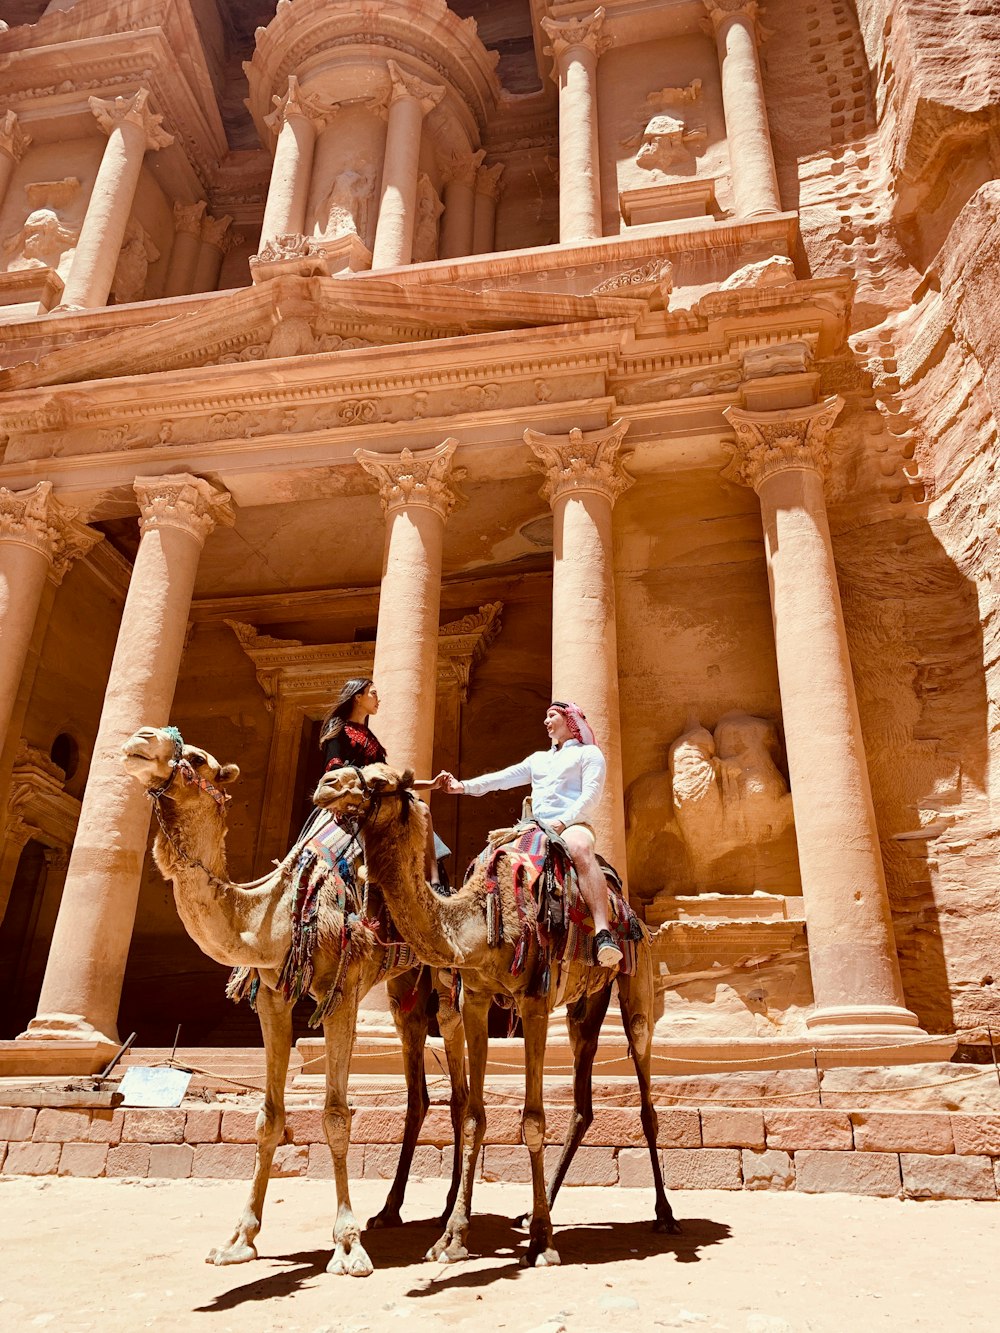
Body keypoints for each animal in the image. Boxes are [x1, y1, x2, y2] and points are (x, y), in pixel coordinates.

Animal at [122, 725, 469, 1274]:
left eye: (196, 759)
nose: (140, 737)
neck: (274, 915)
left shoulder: (342, 994)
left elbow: (335, 1116)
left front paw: (347, 1246)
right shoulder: (272, 998)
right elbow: (269, 1118)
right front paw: (238, 1240)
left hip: (444, 978)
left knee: (458, 1088)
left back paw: (447, 1217)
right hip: (402, 990)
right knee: (417, 1088)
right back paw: (390, 1210)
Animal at [314, 762, 682, 1269]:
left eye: (380, 781)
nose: (326, 784)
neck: (476, 921)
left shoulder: (533, 1000)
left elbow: (532, 1120)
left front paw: (543, 1244)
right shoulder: (474, 999)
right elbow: (473, 1117)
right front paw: (451, 1238)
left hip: (636, 979)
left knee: (645, 1089)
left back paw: (664, 1215)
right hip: (585, 1004)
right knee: (582, 1101)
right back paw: (534, 1211)